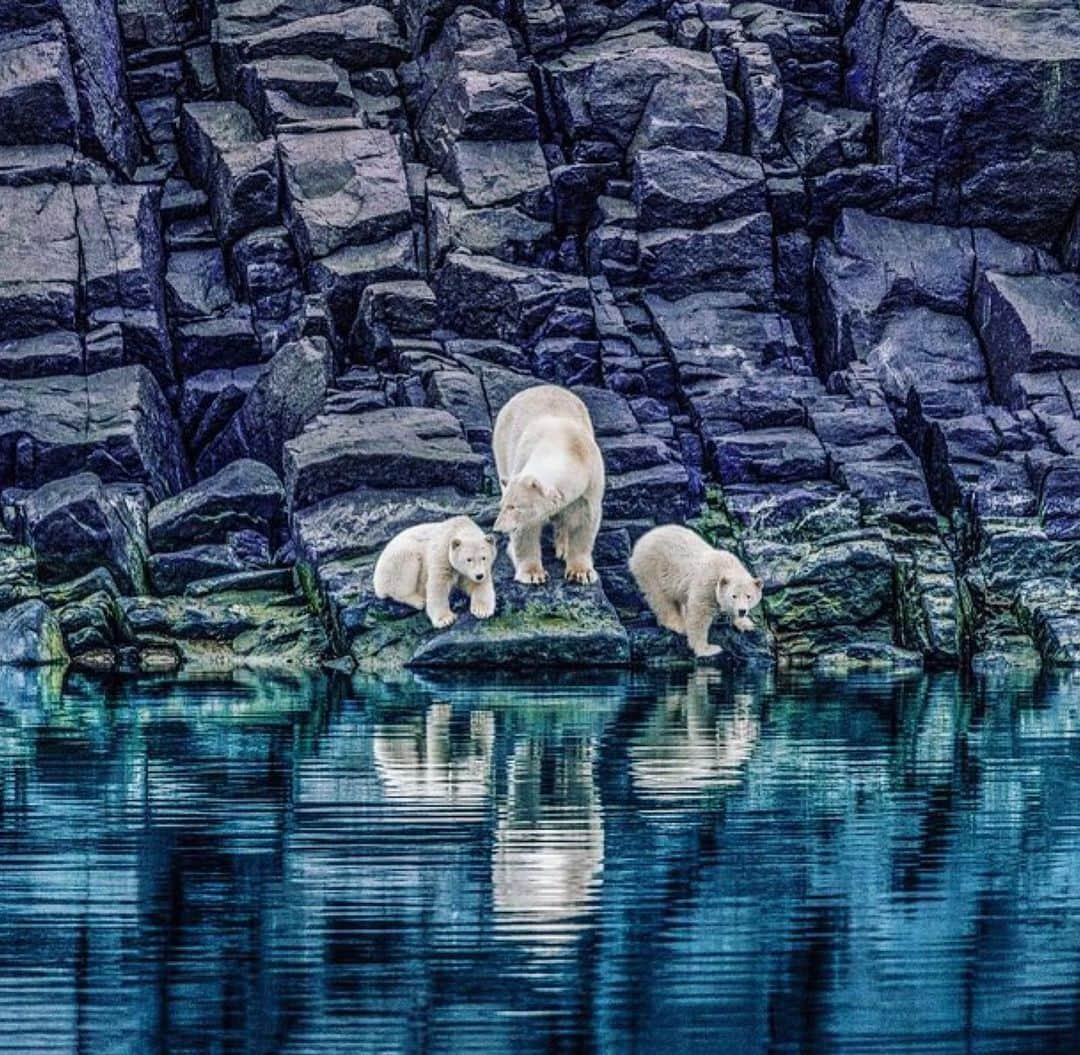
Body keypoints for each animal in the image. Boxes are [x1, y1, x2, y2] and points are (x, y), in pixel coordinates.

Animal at [492, 384, 604, 583]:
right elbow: (526, 529)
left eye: (514, 506)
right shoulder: (521, 460)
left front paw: (581, 572)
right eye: (503, 505)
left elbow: (584, 519)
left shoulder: (591, 481)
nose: (497, 529)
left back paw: (563, 546)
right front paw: (532, 573)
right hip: (502, 445)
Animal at [630, 526, 764, 656]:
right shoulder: (707, 585)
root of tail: (642, 540)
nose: (742, 611)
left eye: (749, 596)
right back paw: (679, 624)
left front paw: (746, 624)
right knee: (661, 598)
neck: (725, 567)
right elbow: (699, 614)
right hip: (651, 569)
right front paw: (707, 649)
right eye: (733, 596)